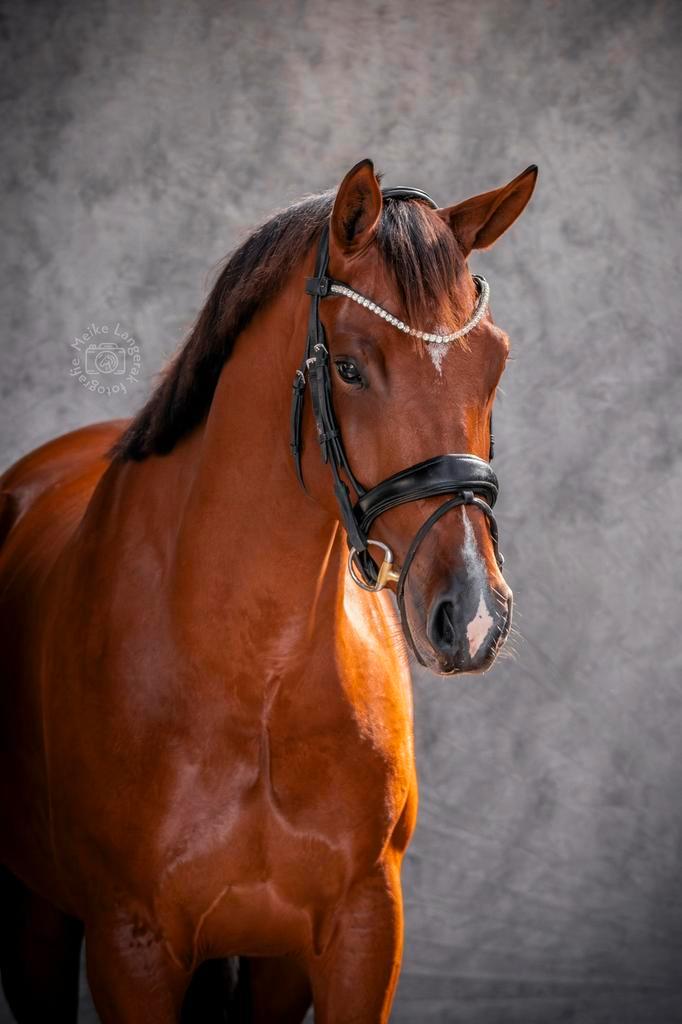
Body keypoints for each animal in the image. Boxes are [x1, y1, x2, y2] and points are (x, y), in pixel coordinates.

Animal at [0, 158, 536, 1023]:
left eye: (496, 359)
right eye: (349, 365)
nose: (475, 616)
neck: (255, 677)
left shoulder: (358, 934)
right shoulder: (129, 947)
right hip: (36, 919)